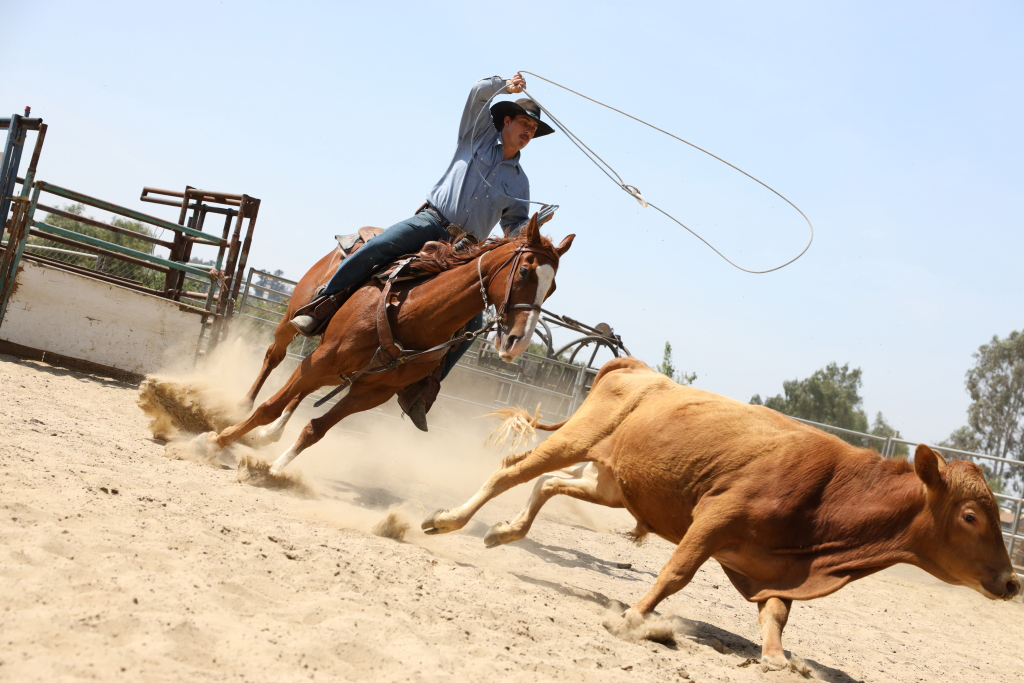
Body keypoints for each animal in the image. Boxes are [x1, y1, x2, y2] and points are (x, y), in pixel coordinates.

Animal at [421, 357, 1021, 668]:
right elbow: (677, 573)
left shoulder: (774, 562)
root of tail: (636, 367)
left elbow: (775, 614)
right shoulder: (715, 519)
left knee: (548, 485)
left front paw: (780, 658)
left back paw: (505, 532)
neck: (831, 490)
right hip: (574, 440)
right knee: (513, 472)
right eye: (971, 515)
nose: (1012, 582)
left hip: (611, 483)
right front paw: (635, 617)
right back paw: (446, 520)